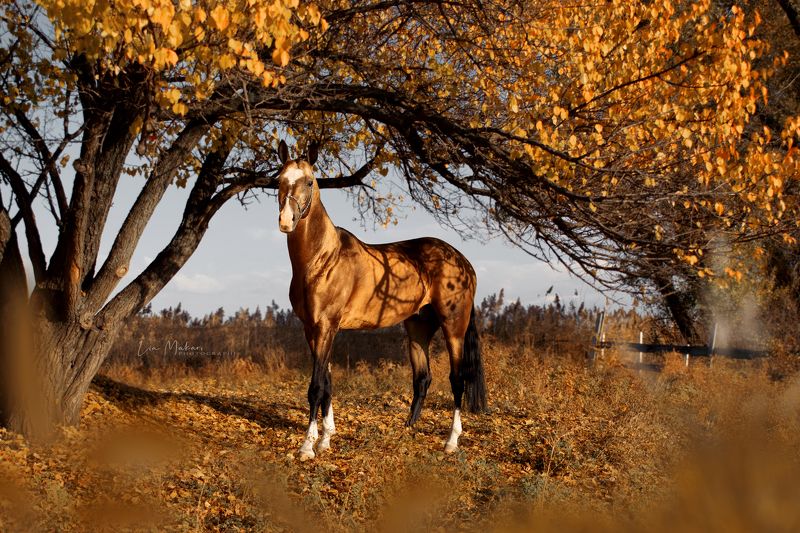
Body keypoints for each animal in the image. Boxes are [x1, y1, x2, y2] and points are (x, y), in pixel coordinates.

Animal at [275, 140, 487, 460]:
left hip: (454, 326)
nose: (286, 221)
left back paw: (451, 441)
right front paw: (326, 439)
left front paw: (307, 447)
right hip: (418, 328)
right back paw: (408, 429)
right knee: (422, 378)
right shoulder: (311, 329)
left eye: (309, 181)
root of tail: (463, 261)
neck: (322, 260)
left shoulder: (326, 326)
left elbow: (315, 386)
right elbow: (328, 383)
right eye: (278, 180)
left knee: (457, 379)